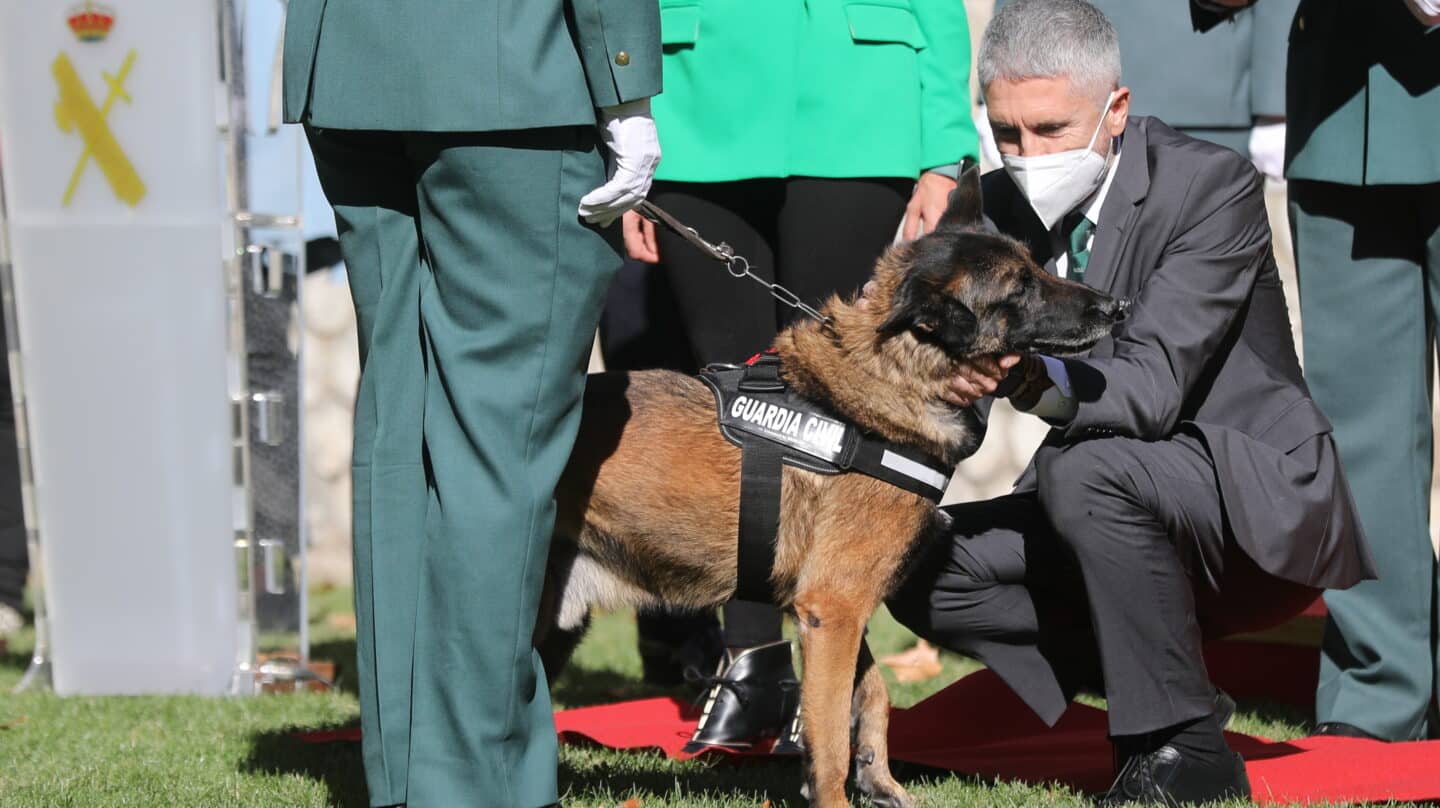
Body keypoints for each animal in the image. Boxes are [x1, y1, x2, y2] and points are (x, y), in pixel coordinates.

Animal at [541, 167, 1123, 800]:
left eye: (1036, 267)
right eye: (1019, 288)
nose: (1114, 306)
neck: (890, 380)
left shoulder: (839, 608)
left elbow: (870, 695)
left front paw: (880, 778)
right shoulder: (833, 608)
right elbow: (827, 733)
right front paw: (837, 793)